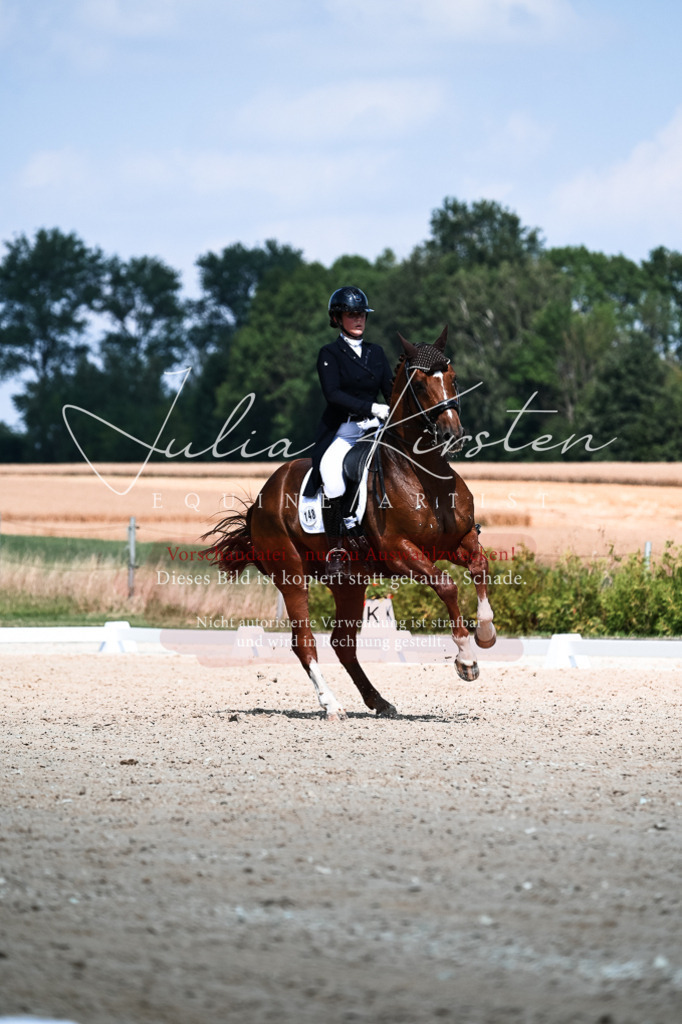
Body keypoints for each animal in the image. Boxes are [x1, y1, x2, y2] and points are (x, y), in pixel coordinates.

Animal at [206, 326, 496, 720]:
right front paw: (466, 660)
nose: (452, 434)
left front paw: (486, 633)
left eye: (452, 378)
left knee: (342, 643)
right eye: (419, 385)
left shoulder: (457, 542)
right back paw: (332, 705)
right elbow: (447, 586)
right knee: (304, 641)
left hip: (348, 582)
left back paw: (379, 701)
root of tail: (261, 499)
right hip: (291, 575)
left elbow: (480, 567)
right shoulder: (400, 553)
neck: (425, 473)